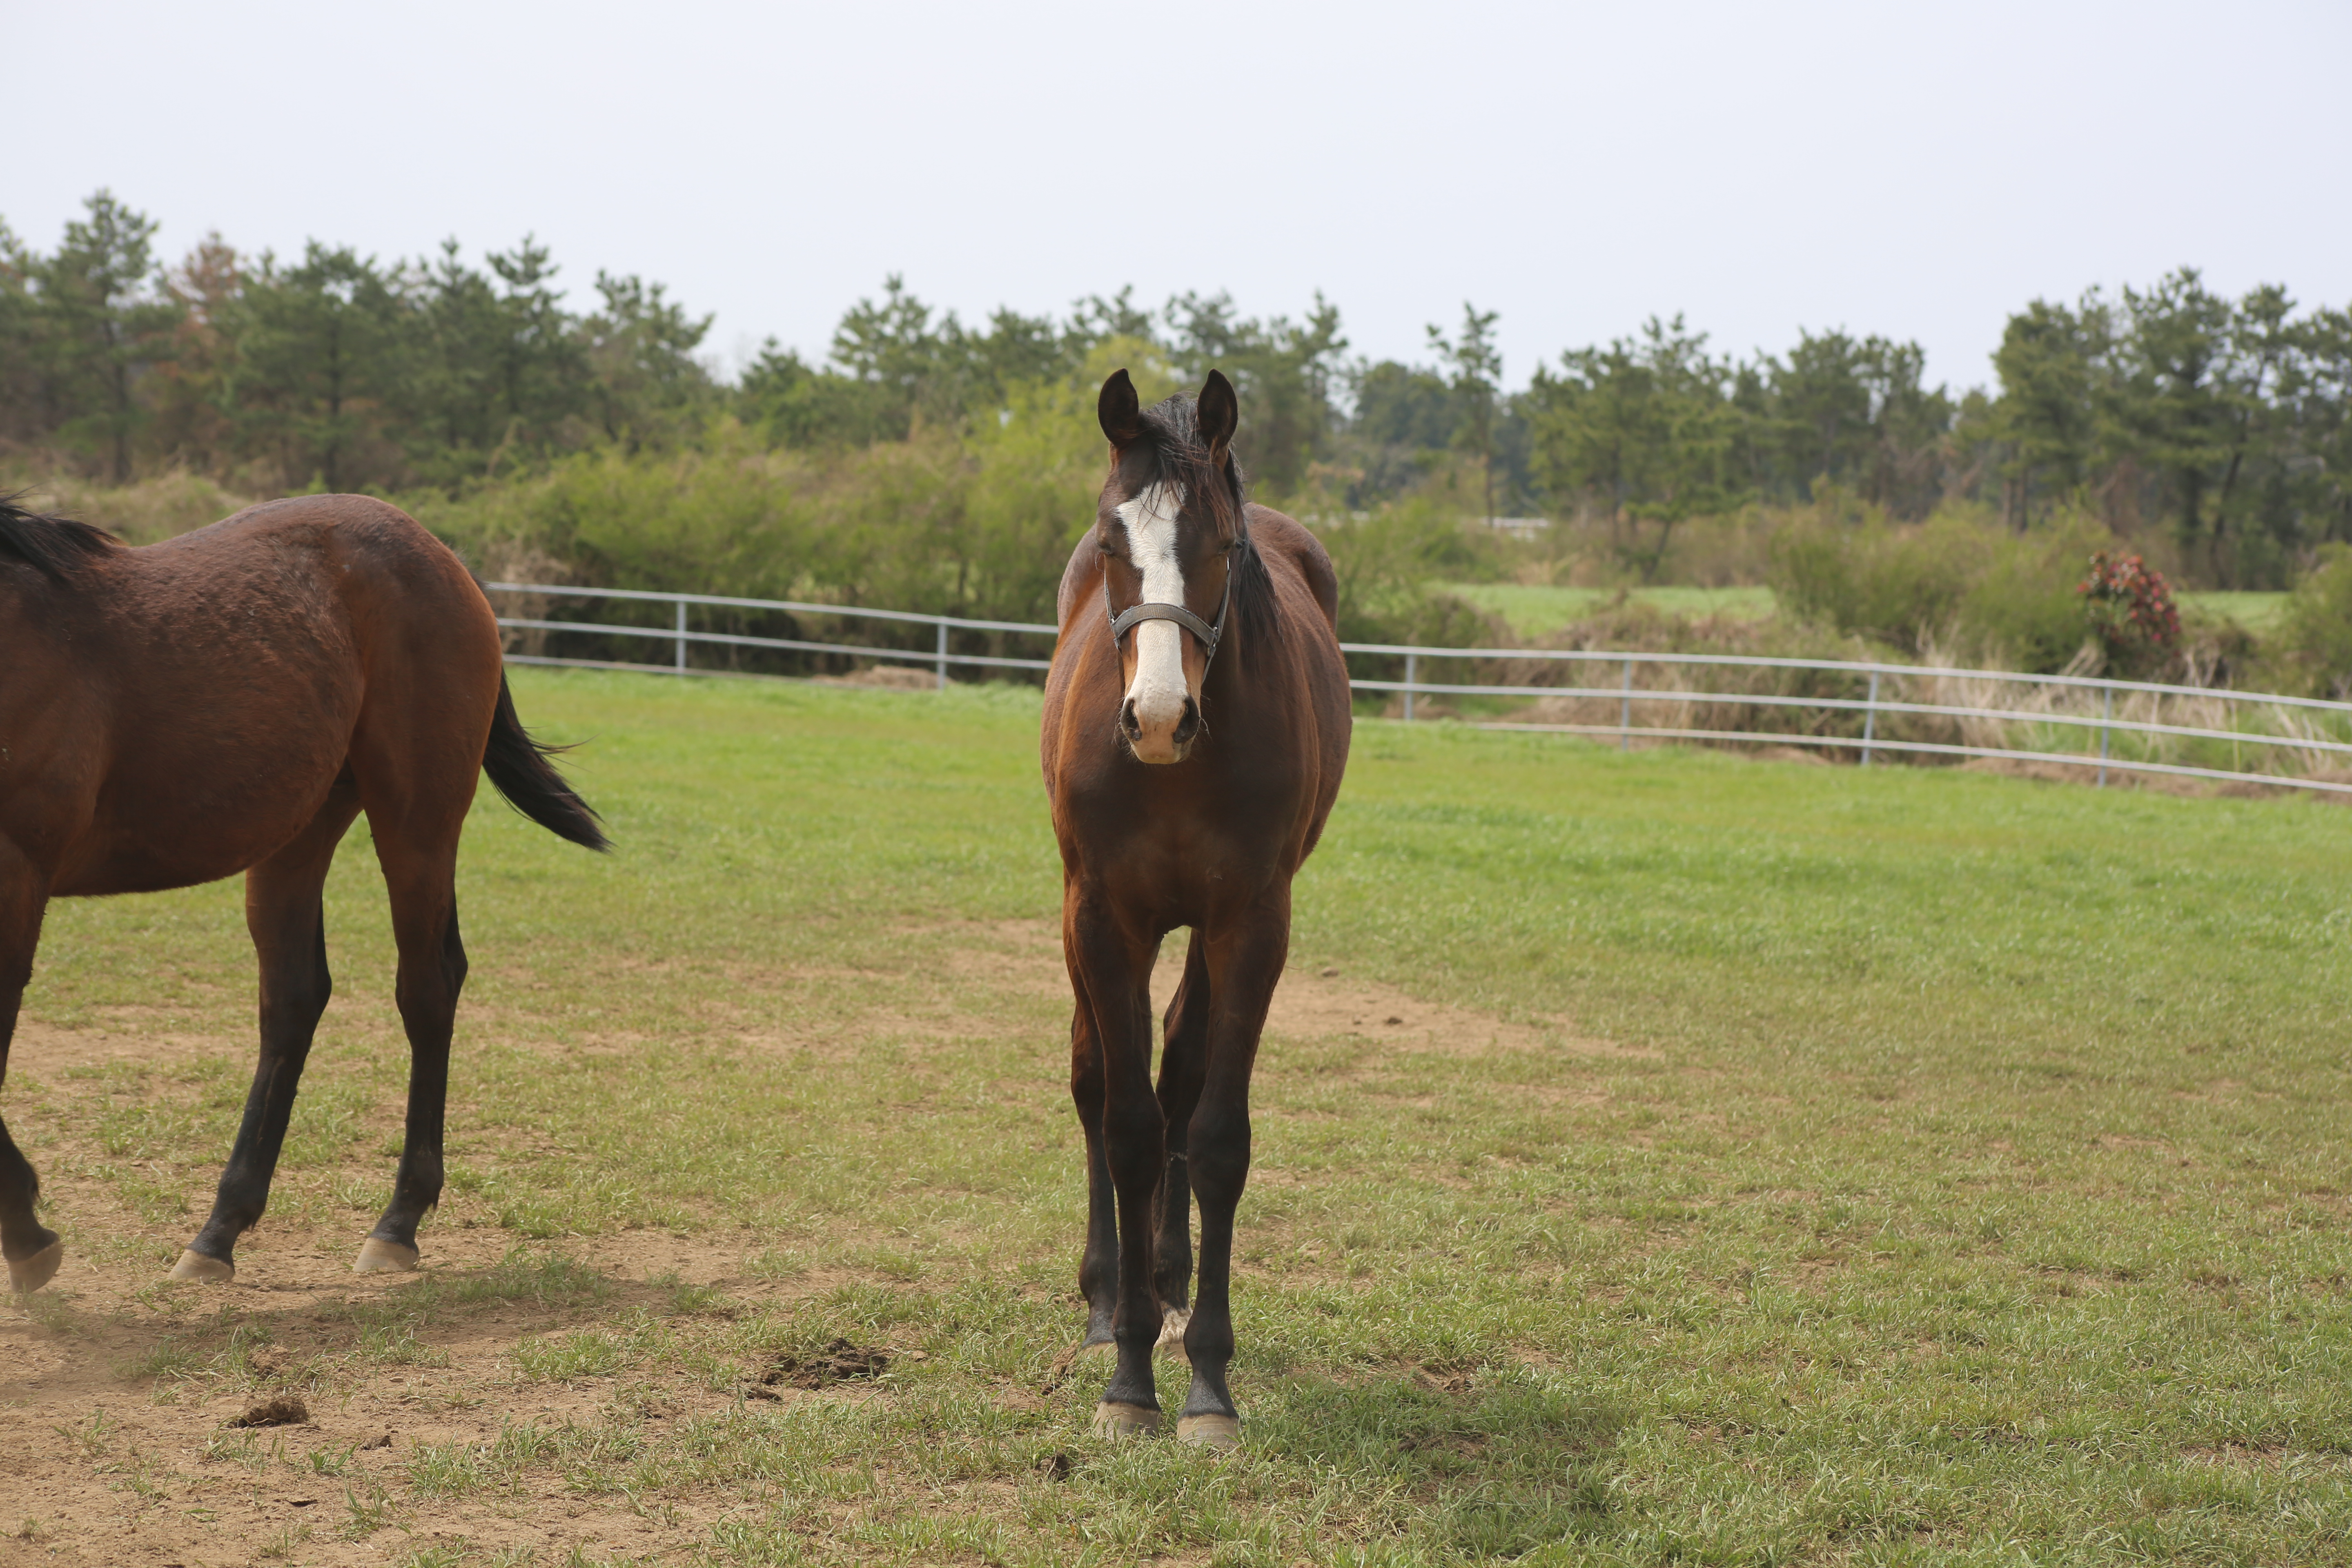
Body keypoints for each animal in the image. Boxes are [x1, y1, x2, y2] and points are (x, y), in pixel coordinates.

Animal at [2, 496, 607, 1297]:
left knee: (427, 986)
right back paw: (218, 1233)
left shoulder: (18, 871)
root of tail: (436, 551)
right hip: (300, 830)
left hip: (416, 818)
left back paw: (396, 1224)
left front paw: (27, 1236)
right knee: (293, 998)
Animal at [1044, 371, 1354, 1448]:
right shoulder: (1104, 918)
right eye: (1112, 545)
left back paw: (1170, 1284)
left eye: (1219, 545)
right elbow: (1127, 1124)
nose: (1158, 718)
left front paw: (1207, 1382)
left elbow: (1214, 1134)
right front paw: (1128, 1377)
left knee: (1179, 1068)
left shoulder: (1250, 924)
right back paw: (1112, 1299)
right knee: (1100, 1082)